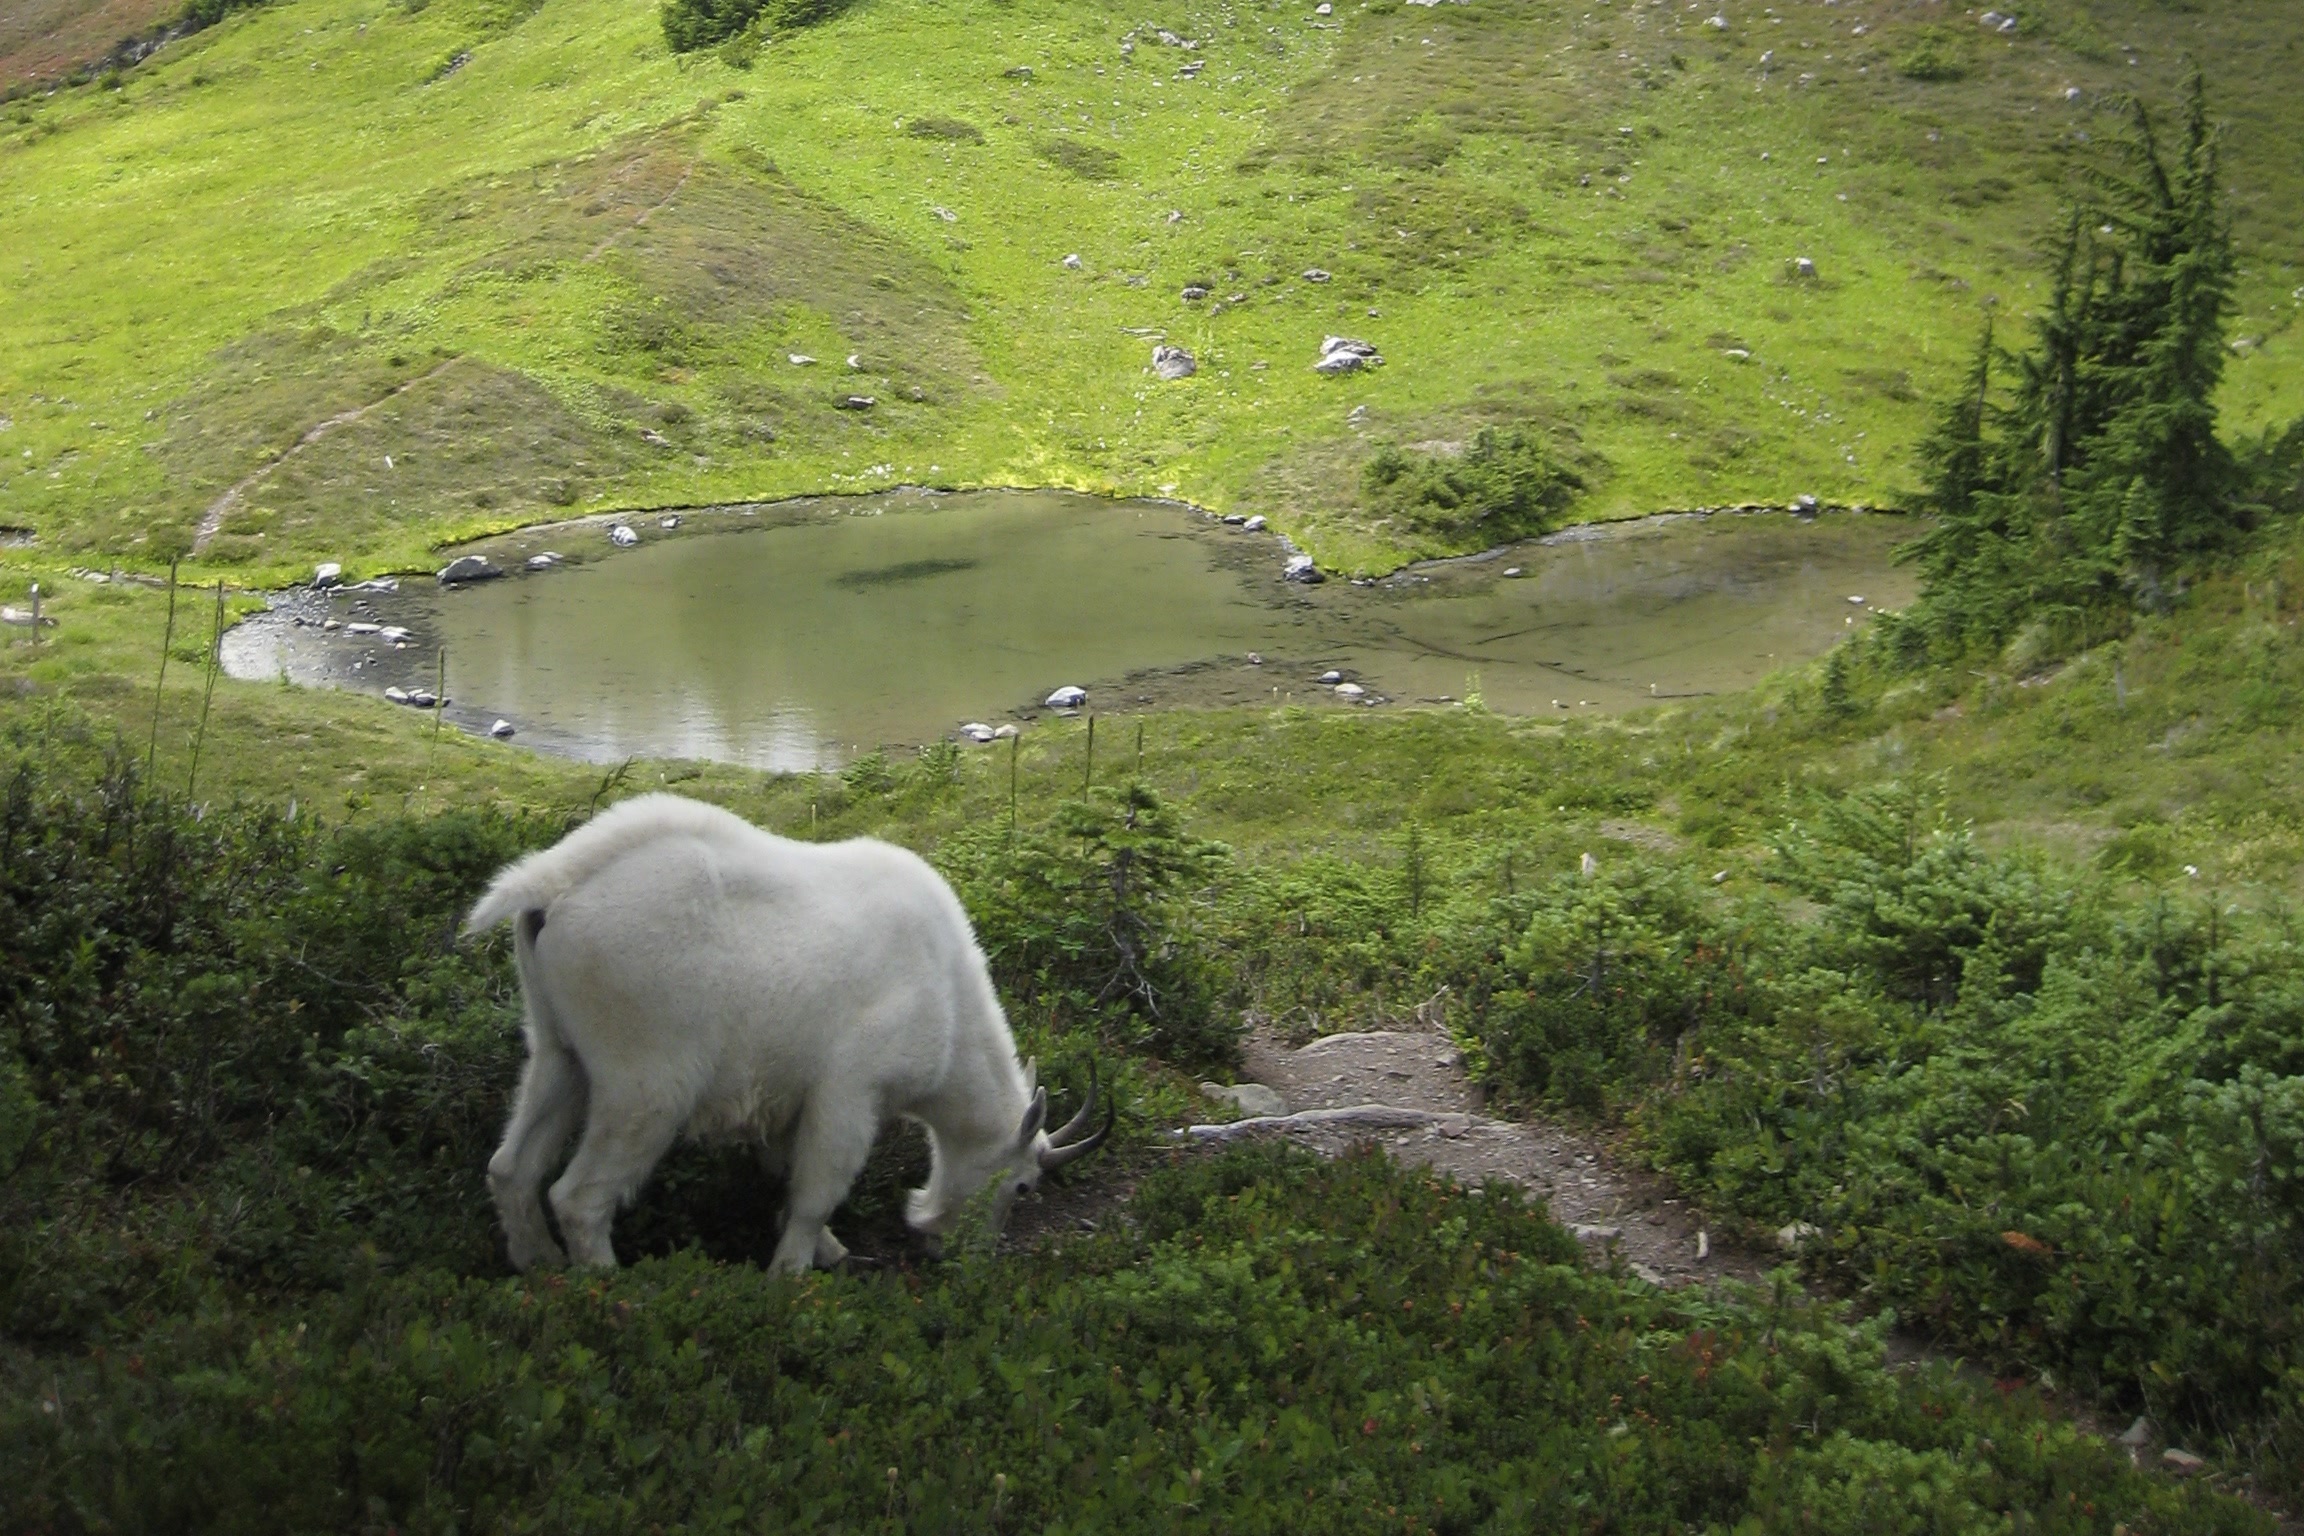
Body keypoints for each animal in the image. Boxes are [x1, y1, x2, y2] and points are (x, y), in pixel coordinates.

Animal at [464, 793, 1108, 1275]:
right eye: (1023, 1187)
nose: (961, 1255)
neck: (947, 997)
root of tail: (551, 890)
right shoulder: (851, 1090)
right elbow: (816, 1191)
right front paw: (792, 1273)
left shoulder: (784, 1098)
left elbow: (783, 1173)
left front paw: (829, 1251)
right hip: (645, 1077)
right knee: (579, 1198)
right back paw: (609, 1287)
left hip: (557, 1049)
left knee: (511, 1166)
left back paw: (538, 1263)